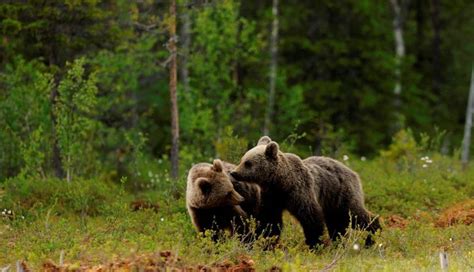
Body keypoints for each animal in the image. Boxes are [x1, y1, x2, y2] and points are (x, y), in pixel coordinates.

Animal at [230, 136, 382, 249]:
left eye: (248, 163)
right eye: (242, 159)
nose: (234, 173)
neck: (281, 182)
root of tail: (353, 172)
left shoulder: (300, 192)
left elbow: (311, 217)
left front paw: (315, 244)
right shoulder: (272, 197)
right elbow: (270, 221)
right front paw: (265, 241)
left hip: (342, 194)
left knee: (354, 214)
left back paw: (372, 236)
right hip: (331, 202)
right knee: (337, 223)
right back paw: (339, 242)